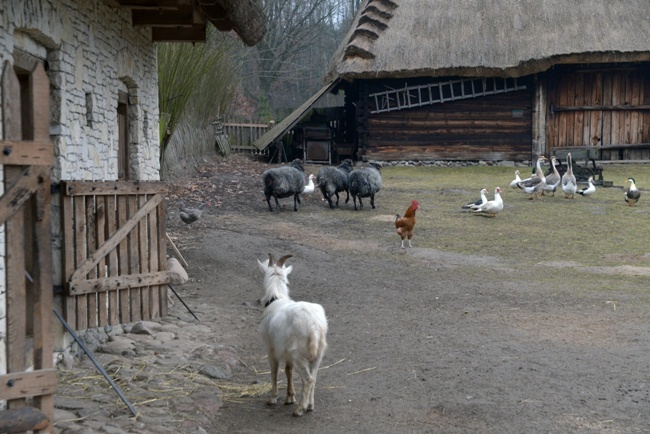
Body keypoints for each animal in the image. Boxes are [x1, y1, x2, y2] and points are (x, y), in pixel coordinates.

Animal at [256, 254, 330, 418]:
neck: (275, 299)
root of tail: (313, 326)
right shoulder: (286, 351)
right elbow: (288, 370)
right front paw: (290, 396)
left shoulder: (271, 348)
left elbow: (274, 371)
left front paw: (273, 398)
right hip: (318, 353)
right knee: (314, 377)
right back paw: (310, 405)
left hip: (299, 353)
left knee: (308, 379)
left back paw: (299, 409)